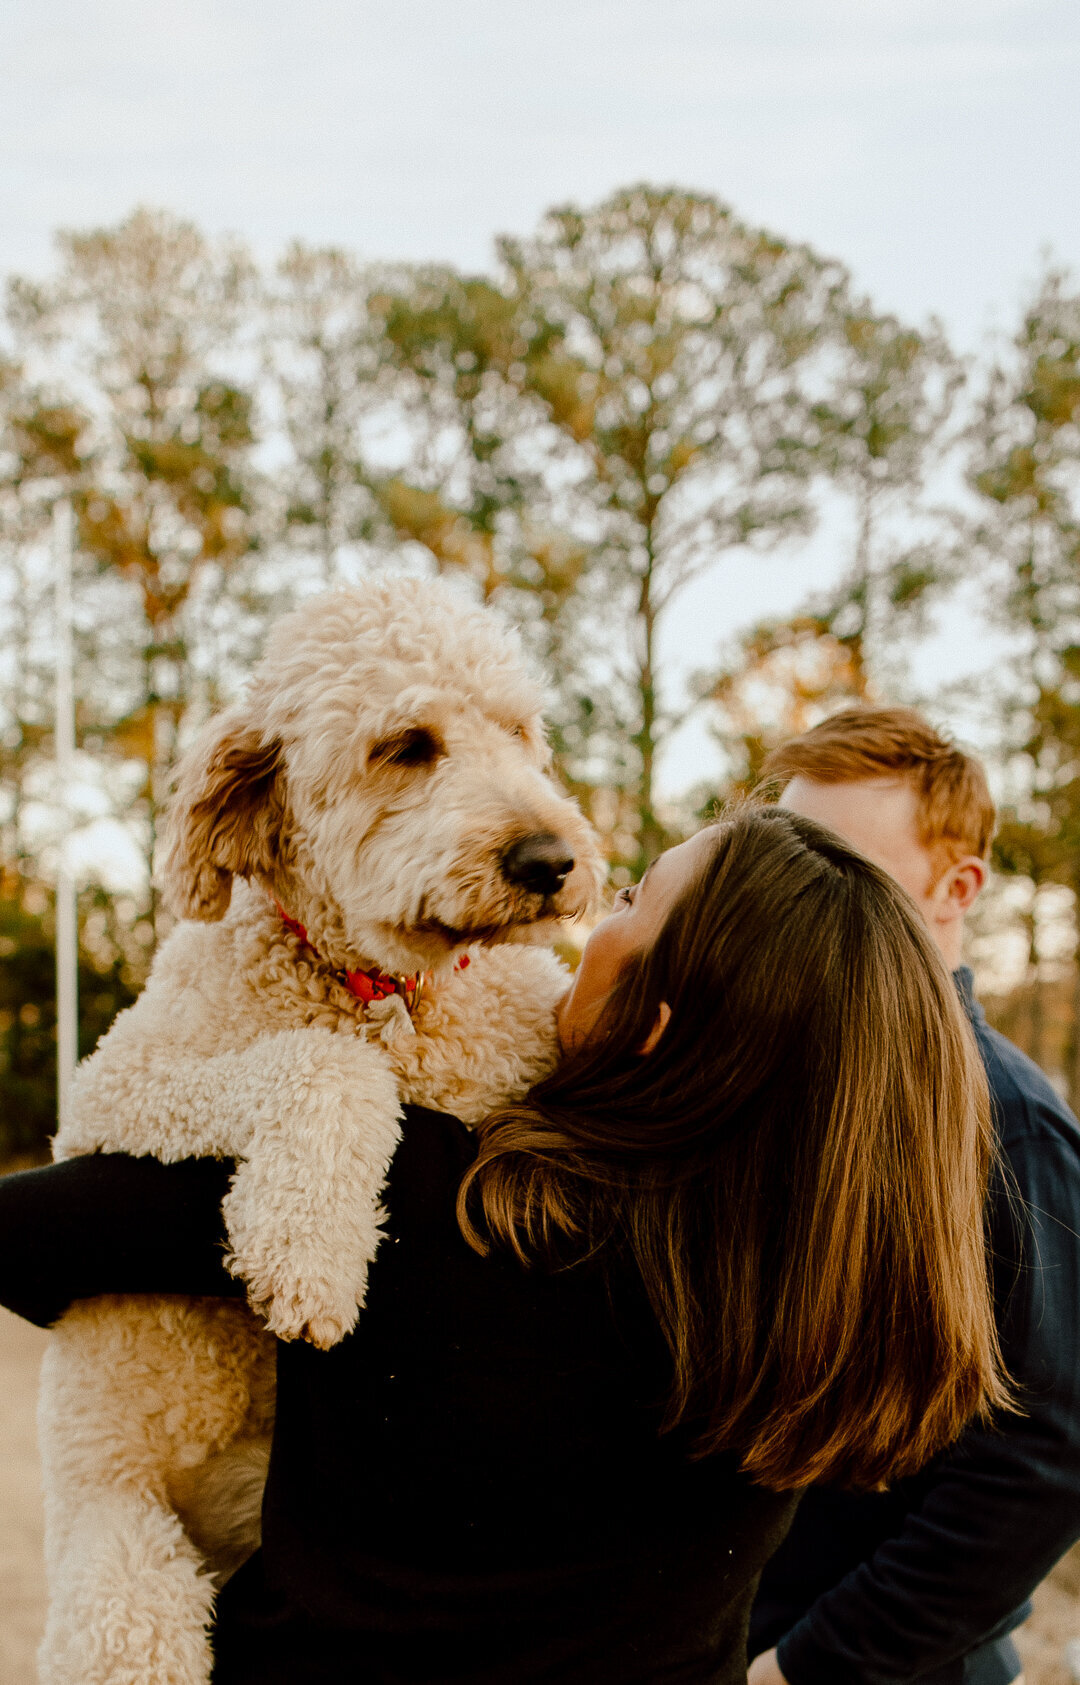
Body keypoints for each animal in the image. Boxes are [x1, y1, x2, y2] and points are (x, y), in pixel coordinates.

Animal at [37, 583, 603, 1685]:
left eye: (520, 733)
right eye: (407, 746)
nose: (553, 861)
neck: (390, 993)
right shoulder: (116, 1092)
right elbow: (320, 1063)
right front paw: (308, 1254)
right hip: (122, 1572)